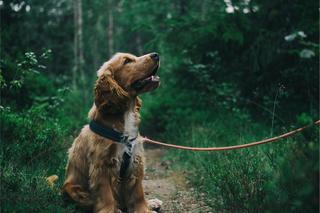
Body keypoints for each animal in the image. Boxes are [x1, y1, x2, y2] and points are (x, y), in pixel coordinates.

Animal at [62, 52, 161, 212]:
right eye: (127, 61)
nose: (156, 54)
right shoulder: (102, 165)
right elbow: (106, 195)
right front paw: (110, 210)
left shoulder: (136, 161)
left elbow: (138, 193)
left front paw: (144, 209)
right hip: (74, 190)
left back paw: (152, 202)